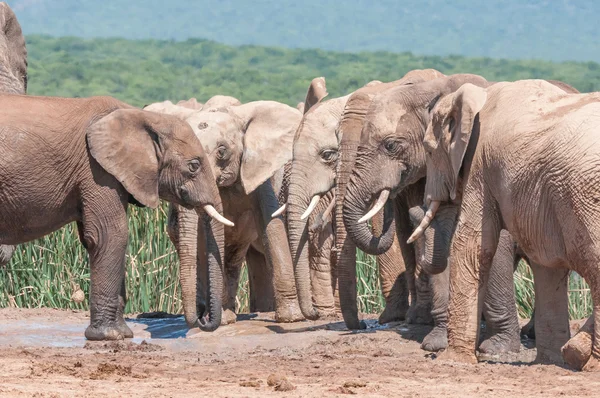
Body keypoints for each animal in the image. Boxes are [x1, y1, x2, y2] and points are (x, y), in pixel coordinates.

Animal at [0, 92, 230, 338]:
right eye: (194, 166)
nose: (202, 320)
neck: (142, 116)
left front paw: (122, 334)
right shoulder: (96, 168)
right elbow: (111, 235)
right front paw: (110, 336)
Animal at [145, 98, 304, 328]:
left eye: (222, 151)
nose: (199, 320)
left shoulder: (257, 173)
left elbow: (271, 224)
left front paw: (292, 318)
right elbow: (204, 240)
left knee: (234, 255)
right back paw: (221, 317)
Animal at [412, 81, 600, 370]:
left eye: (430, 150)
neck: (479, 94)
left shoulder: (481, 164)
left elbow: (472, 245)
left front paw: (452, 360)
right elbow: (546, 260)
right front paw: (549, 363)